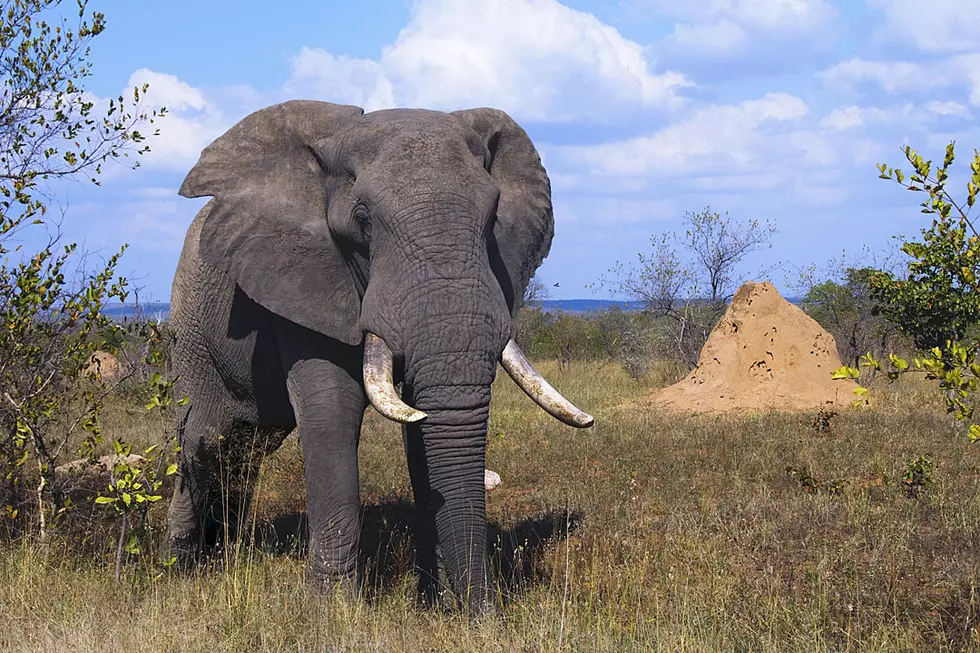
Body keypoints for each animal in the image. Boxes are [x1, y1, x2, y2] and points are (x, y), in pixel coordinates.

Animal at [166, 99, 592, 612]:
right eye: (363, 219)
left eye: (493, 217)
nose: (484, 615)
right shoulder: (305, 278)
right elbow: (333, 414)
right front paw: (332, 613)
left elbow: (422, 423)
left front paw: (433, 602)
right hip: (190, 329)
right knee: (202, 438)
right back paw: (181, 570)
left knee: (243, 448)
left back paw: (227, 552)